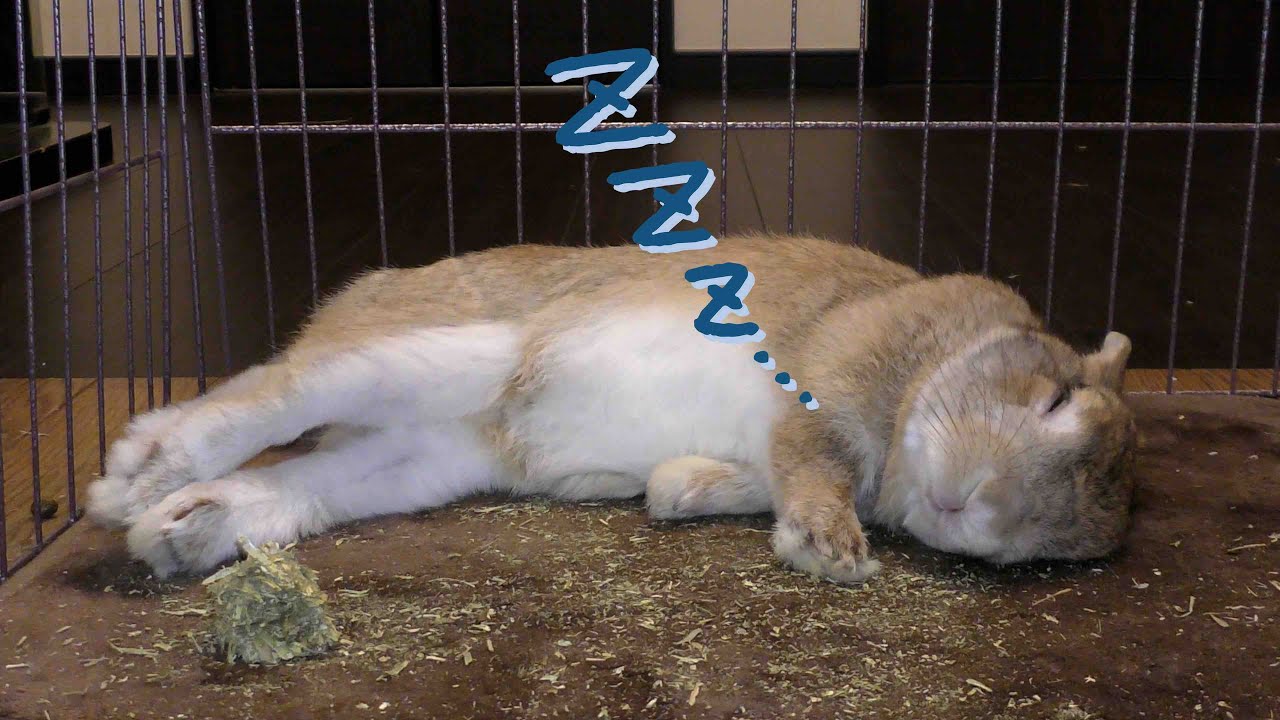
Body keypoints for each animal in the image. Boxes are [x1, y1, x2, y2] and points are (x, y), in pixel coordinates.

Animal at [86, 234, 1138, 583]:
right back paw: (134, 478)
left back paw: (181, 529)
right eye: (1053, 396)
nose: (977, 509)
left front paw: (676, 492)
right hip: (453, 352)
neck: (939, 358)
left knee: (304, 479)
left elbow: (745, 477)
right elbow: (813, 459)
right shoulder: (827, 381)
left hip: (428, 457)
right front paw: (831, 551)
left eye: (1053, 548)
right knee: (267, 395)